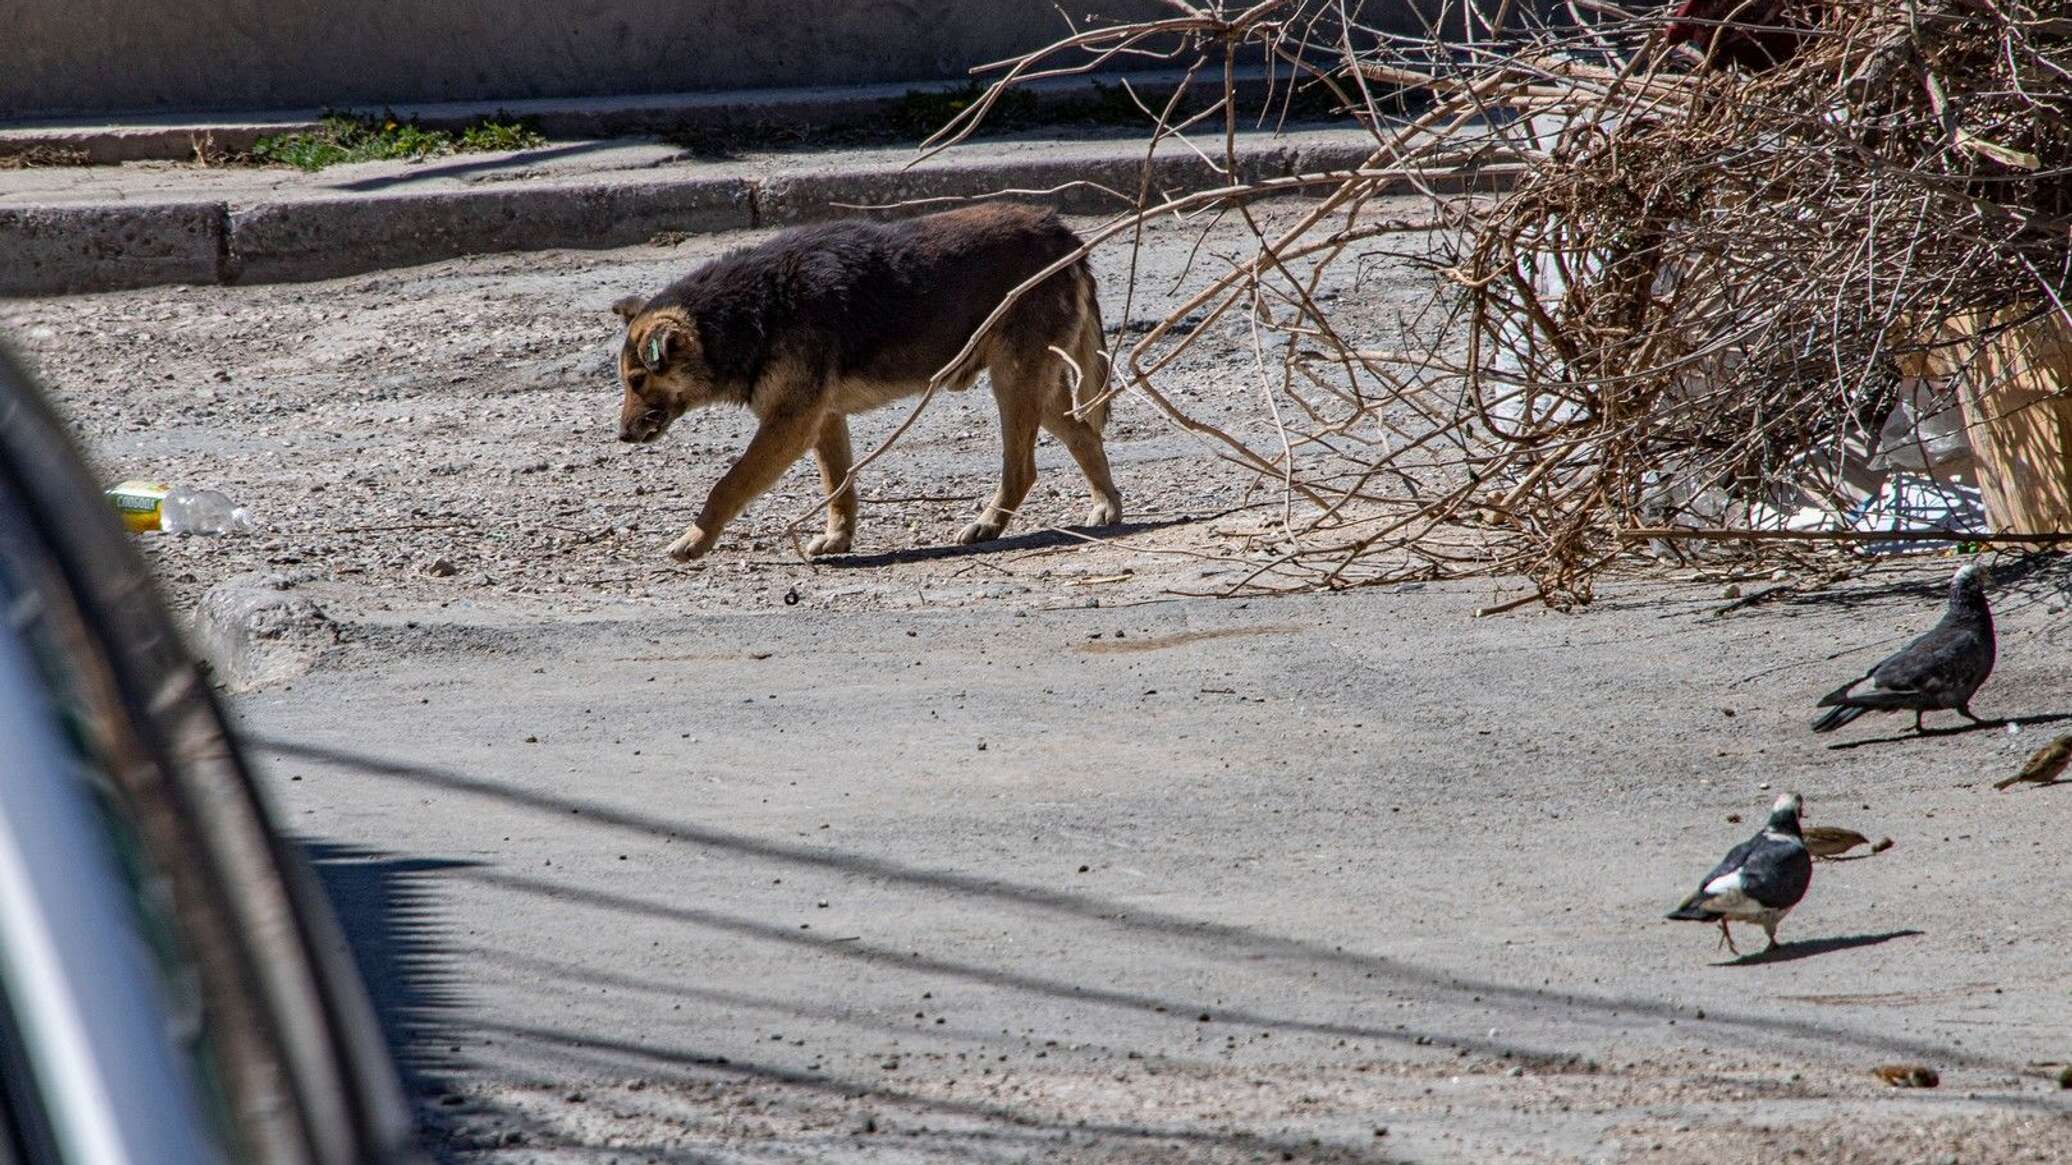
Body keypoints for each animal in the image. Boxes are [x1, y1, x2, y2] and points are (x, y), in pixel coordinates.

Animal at [605, 203, 1127, 559]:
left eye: (637, 380)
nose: (622, 436)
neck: (753, 308)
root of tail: (1063, 233)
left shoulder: (788, 426)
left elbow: (727, 485)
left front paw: (694, 538)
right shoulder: (823, 421)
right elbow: (839, 486)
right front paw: (838, 537)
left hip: (1014, 384)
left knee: (1024, 469)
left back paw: (988, 525)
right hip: (1034, 390)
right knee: (1085, 436)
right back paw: (1107, 507)